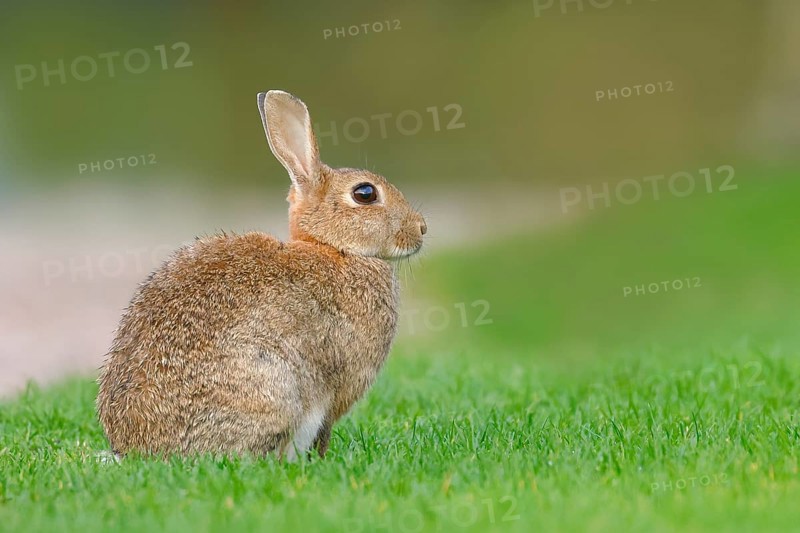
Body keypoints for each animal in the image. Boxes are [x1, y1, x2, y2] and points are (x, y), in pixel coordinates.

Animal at [96, 90, 427, 460]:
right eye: (365, 194)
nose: (421, 229)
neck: (334, 248)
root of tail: (136, 449)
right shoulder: (338, 388)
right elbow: (325, 428)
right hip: (274, 387)